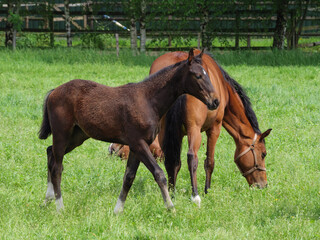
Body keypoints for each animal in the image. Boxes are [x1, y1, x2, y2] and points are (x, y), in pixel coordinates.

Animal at [38, 47, 220, 213]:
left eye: (207, 74)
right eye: (198, 75)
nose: (215, 101)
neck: (148, 100)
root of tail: (54, 91)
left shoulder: (135, 147)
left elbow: (129, 177)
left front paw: (118, 210)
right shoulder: (139, 143)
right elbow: (159, 174)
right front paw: (171, 208)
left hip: (77, 136)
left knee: (50, 153)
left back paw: (47, 200)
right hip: (62, 133)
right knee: (57, 167)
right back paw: (60, 207)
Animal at [109, 49, 270, 207]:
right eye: (263, 154)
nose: (263, 185)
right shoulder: (214, 128)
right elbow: (209, 162)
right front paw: (207, 191)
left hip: (163, 131)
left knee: (171, 161)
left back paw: (172, 193)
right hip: (194, 129)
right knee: (192, 157)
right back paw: (195, 195)